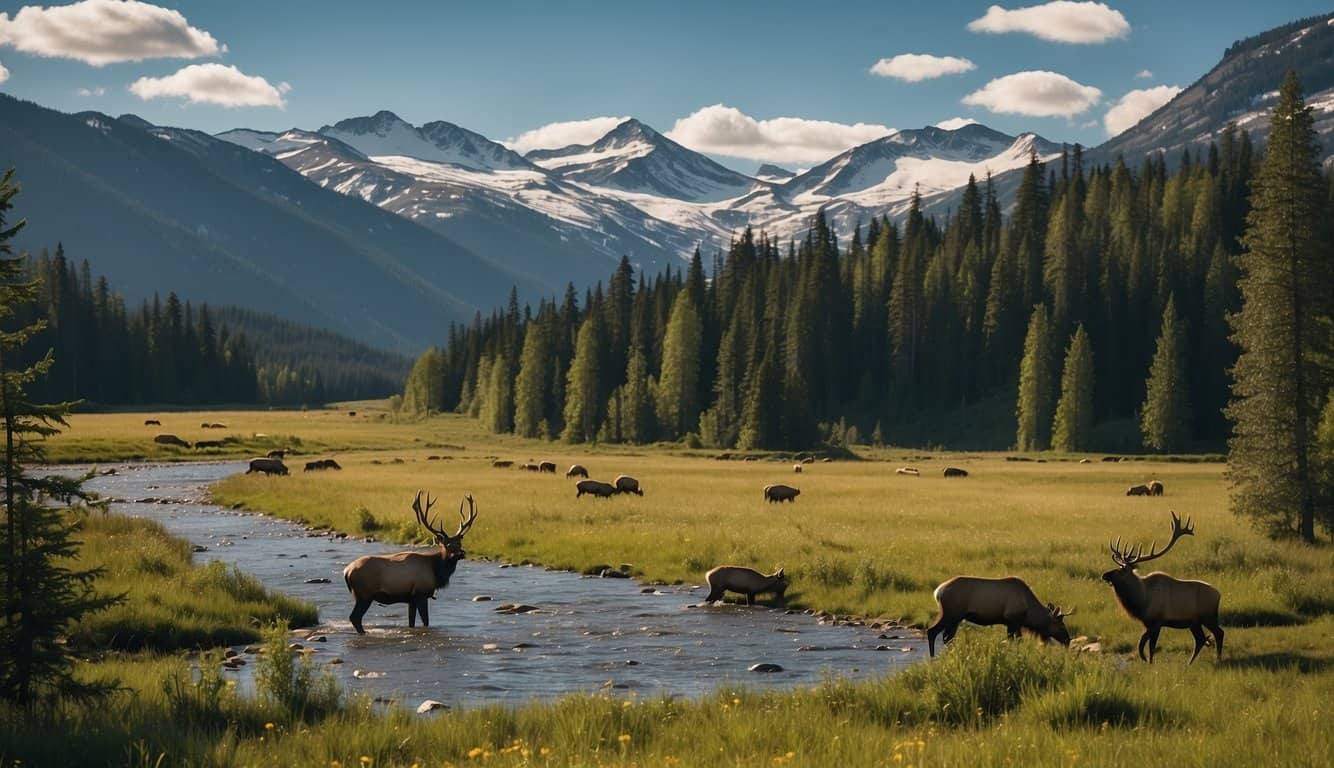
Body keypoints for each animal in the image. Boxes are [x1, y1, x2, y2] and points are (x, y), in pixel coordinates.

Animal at [342, 491, 477, 634]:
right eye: (447, 545)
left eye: (459, 544)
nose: (461, 554)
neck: (436, 570)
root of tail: (347, 572)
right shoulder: (421, 594)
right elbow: (426, 622)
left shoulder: (411, 599)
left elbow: (411, 623)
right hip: (364, 594)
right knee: (355, 617)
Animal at [1104, 511, 1223, 664]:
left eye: (1120, 571)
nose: (1104, 575)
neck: (1141, 600)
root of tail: (1219, 595)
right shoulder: (1148, 623)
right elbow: (1145, 642)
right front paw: (1147, 660)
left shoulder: (1157, 621)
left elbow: (1148, 644)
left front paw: (1147, 661)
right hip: (1194, 622)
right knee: (1200, 639)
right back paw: (1189, 662)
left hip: (1208, 616)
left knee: (1218, 632)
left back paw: (1218, 659)